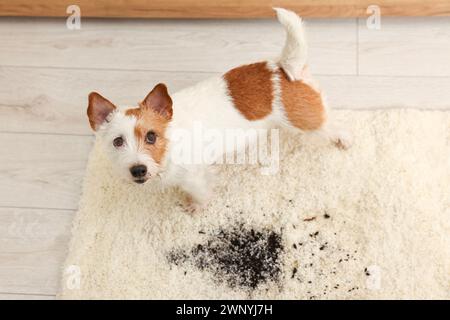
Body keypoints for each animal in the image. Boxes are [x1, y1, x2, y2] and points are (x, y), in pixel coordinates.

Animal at [85, 8, 352, 212]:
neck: (170, 145)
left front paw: (196, 207)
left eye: (151, 136)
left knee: (330, 123)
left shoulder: (193, 177)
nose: (138, 169)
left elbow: (201, 193)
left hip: (306, 120)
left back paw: (344, 139)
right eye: (117, 141)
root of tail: (282, 66)